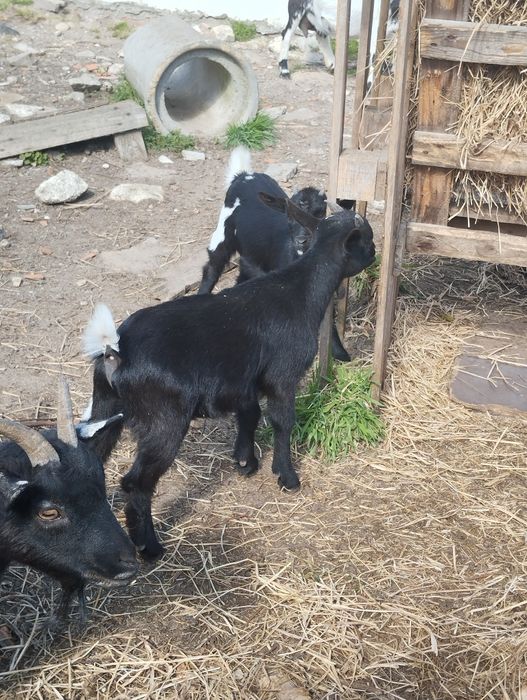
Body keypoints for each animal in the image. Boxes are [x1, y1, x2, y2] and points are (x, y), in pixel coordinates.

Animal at [198, 146, 351, 362]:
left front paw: (340, 353)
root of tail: (243, 175)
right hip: (222, 234)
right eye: (289, 214)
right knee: (212, 267)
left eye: (321, 212)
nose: (301, 240)